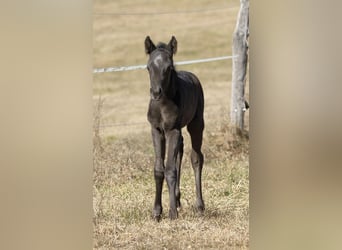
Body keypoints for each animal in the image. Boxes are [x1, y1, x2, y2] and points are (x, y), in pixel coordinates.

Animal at [145, 35, 206, 221]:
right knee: (180, 150)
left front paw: (172, 212)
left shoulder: (172, 130)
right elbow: (159, 169)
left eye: (169, 67)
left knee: (196, 157)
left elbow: (170, 169)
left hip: (196, 124)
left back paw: (199, 205)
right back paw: (178, 200)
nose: (155, 93)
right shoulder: (157, 130)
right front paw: (157, 212)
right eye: (148, 67)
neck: (162, 104)